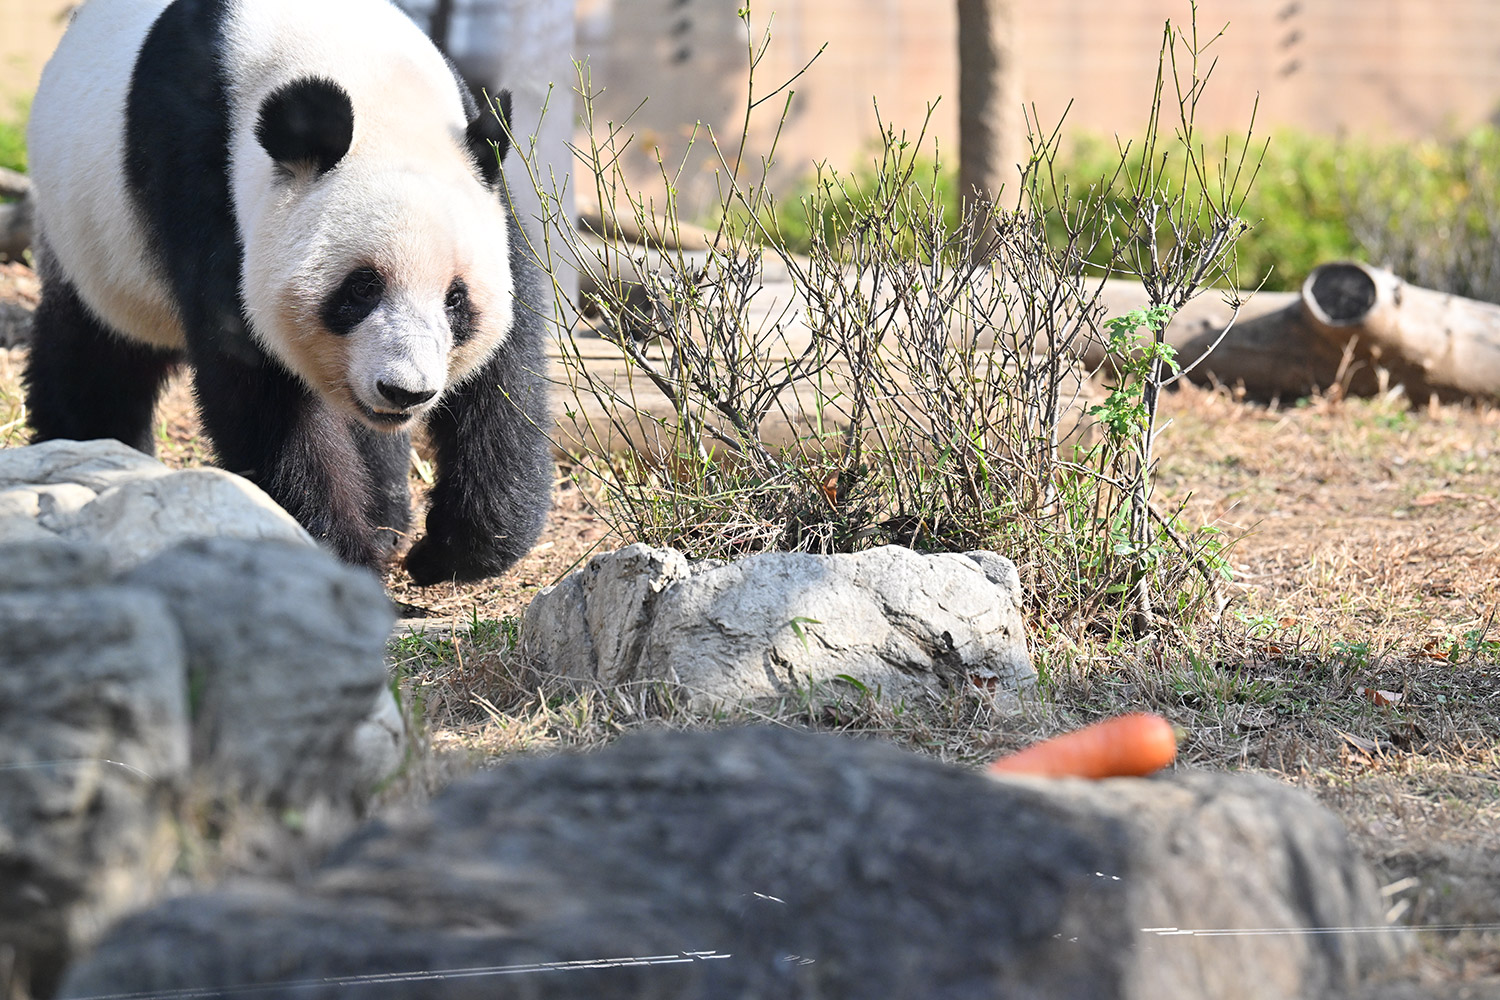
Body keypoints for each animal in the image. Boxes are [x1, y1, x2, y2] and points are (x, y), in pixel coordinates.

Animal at [23, 0, 552, 585]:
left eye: (455, 299)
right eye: (361, 287)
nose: (406, 391)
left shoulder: (486, 187)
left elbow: (506, 376)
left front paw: (451, 550)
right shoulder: (202, 175)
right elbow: (260, 387)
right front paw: (342, 553)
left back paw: (386, 516)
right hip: (95, 244)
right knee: (97, 357)